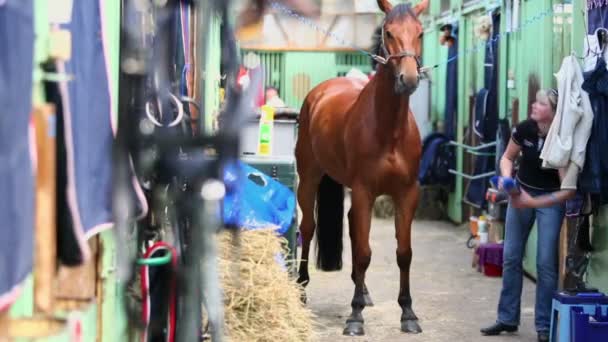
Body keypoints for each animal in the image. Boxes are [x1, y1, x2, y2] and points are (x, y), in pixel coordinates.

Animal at [294, 0, 428, 336]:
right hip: (309, 179)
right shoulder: (365, 191)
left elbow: (404, 254)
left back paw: (363, 290)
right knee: (308, 228)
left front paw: (408, 313)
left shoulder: (407, 194)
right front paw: (355, 318)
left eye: (420, 32)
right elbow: (365, 252)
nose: (408, 79)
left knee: (353, 228)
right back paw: (301, 288)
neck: (389, 130)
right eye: (389, 32)